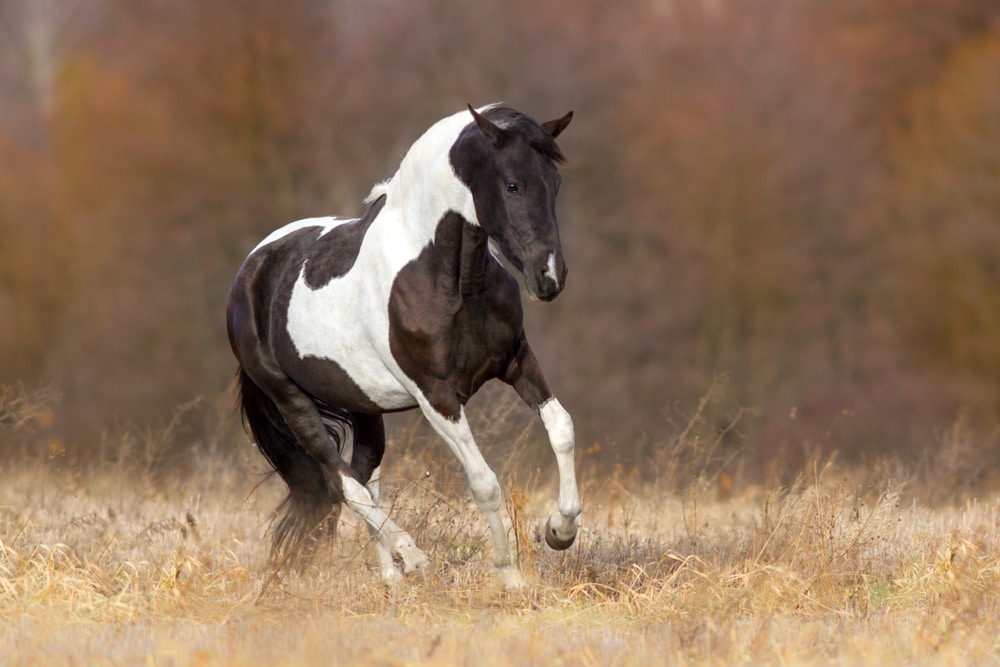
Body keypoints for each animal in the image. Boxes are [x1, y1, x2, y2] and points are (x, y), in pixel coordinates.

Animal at [226, 104, 580, 589]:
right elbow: (483, 482)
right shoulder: (437, 398)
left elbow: (561, 427)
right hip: (291, 400)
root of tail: (250, 270)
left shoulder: (516, 362)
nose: (549, 278)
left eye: (556, 183)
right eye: (512, 184)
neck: (447, 279)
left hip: (362, 404)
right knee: (344, 483)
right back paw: (412, 557)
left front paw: (560, 531)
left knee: (364, 475)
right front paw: (509, 576)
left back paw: (391, 578)